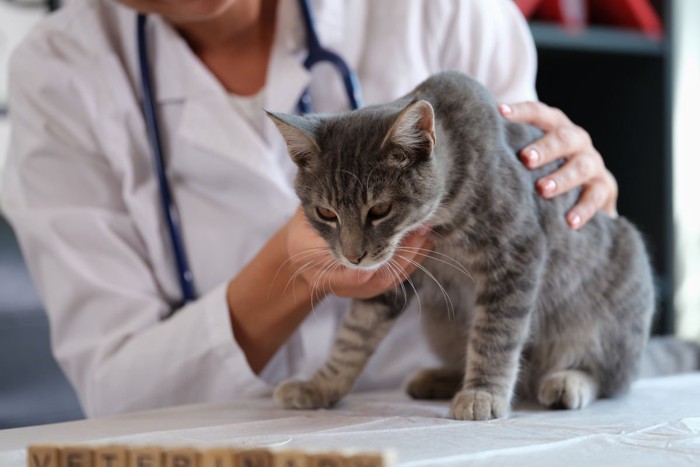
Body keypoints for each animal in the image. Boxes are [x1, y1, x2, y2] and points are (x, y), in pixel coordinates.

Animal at [266, 71, 656, 422]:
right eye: (325, 213)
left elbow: (495, 334)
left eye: (379, 210)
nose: (353, 256)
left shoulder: (517, 253)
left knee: (612, 376)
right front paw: (320, 386)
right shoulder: (392, 279)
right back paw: (438, 378)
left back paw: (568, 381)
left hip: (614, 307)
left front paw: (483, 393)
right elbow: (354, 336)